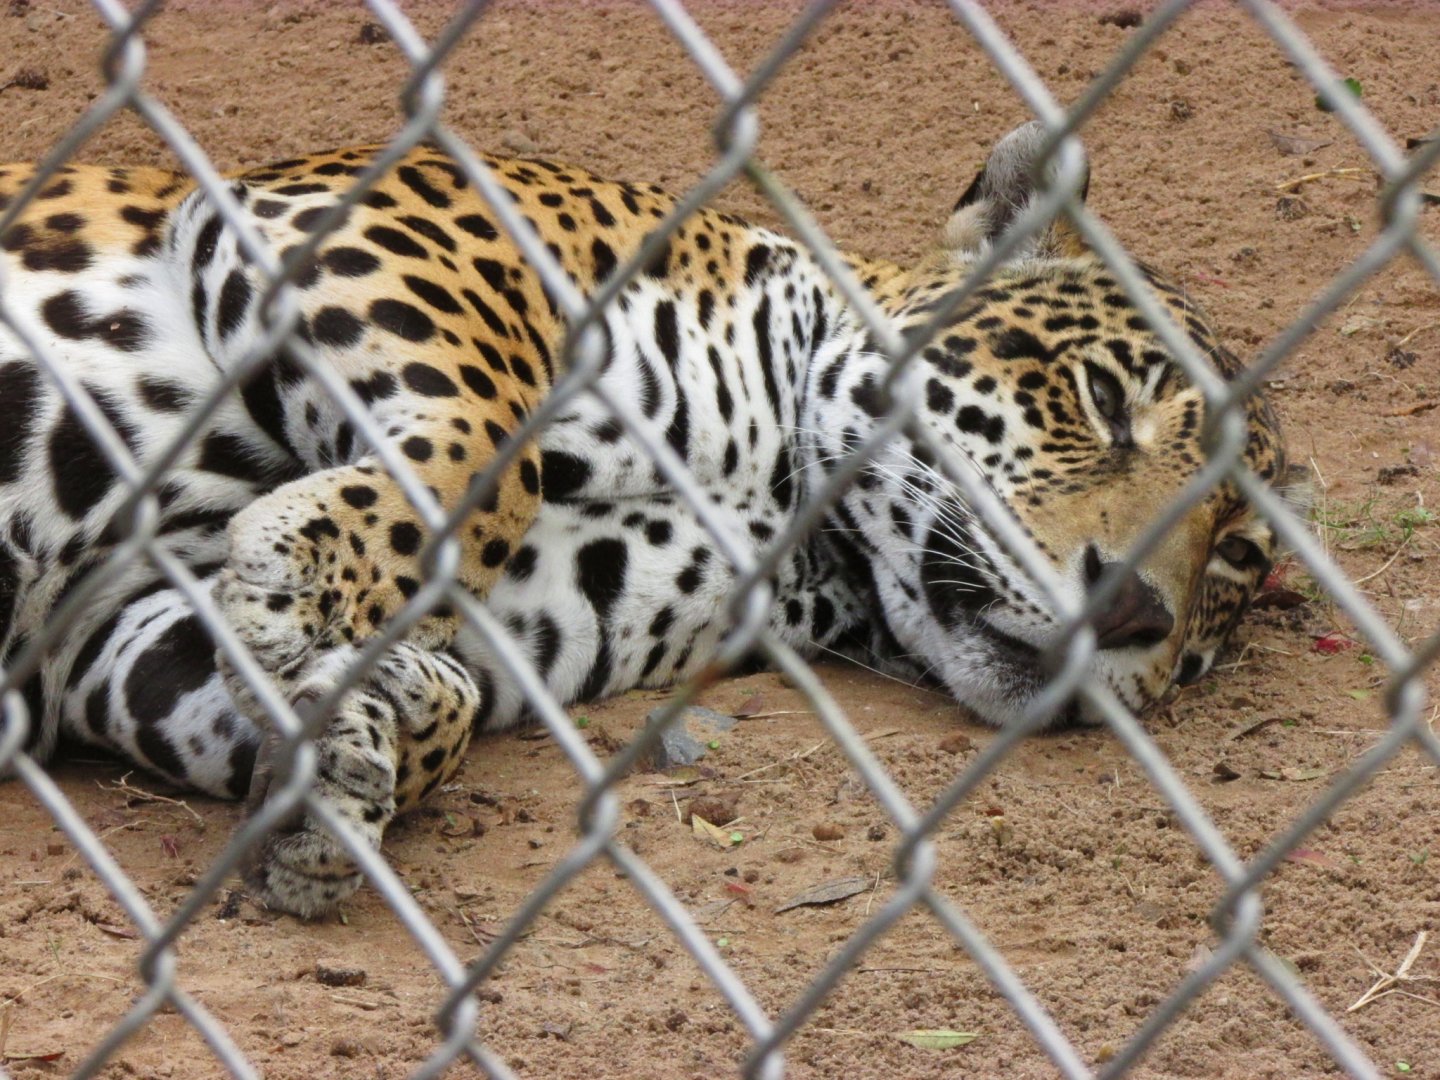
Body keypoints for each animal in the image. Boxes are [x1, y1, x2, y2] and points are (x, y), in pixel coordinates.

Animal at [0, 122, 1302, 918]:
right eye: (1104, 398)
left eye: (1235, 563)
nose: (1132, 613)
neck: (795, 509)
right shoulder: (387, 223)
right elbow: (491, 445)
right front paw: (300, 583)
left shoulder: (103, 625)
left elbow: (435, 687)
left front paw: (359, 746)